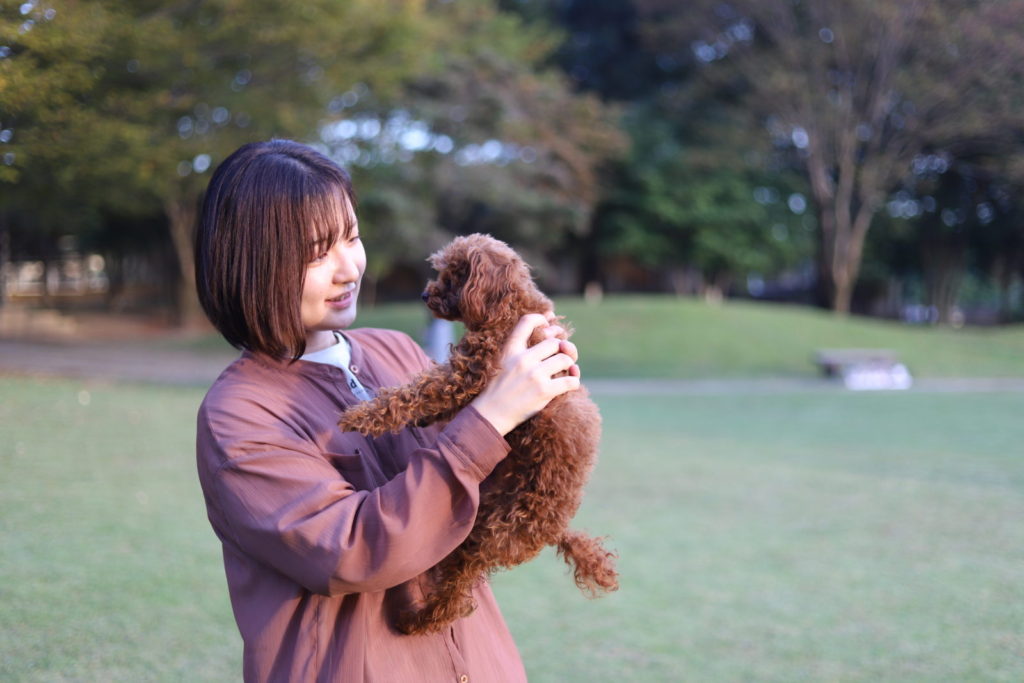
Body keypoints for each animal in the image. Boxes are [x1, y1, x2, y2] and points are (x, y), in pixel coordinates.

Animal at [339, 235, 618, 634]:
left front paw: (361, 416)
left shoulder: (469, 374)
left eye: (457, 275)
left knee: (455, 598)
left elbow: (414, 394)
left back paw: (415, 621)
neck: (508, 306)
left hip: (486, 537)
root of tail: (556, 530)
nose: (425, 295)